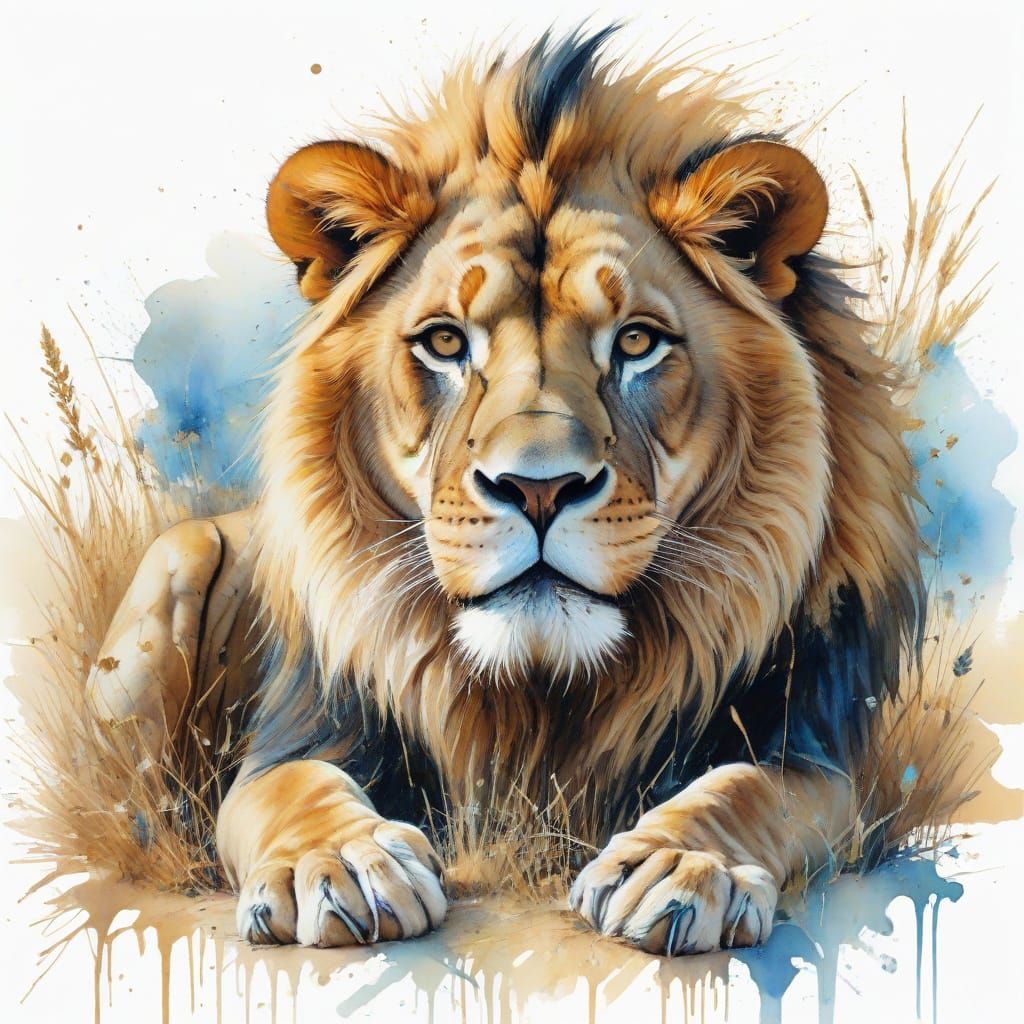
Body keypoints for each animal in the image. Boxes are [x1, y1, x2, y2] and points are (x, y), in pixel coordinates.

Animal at [87, 27, 923, 956]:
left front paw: (675, 867)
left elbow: (748, 785)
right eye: (446, 342)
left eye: (637, 342)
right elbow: (293, 788)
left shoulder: (819, 748)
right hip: (174, 574)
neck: (540, 695)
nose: (539, 487)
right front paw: (338, 865)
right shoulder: (298, 733)